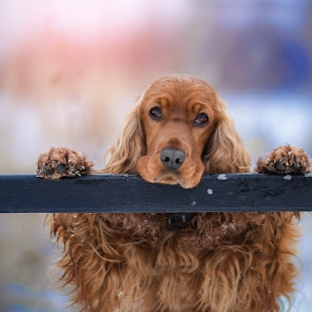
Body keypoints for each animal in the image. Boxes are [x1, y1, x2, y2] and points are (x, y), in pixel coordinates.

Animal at [36, 74, 310, 310]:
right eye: (155, 112)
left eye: (202, 118)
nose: (172, 157)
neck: (175, 220)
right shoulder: (106, 270)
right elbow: (85, 226)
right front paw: (63, 159)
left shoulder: (248, 272)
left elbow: (268, 233)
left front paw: (284, 158)